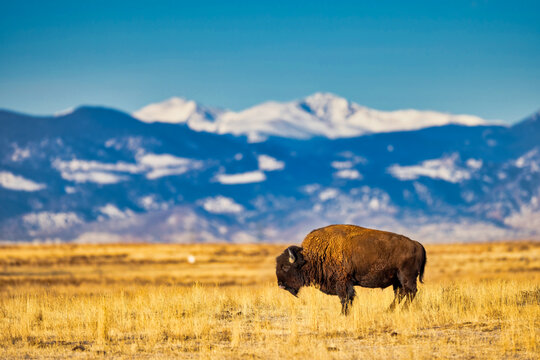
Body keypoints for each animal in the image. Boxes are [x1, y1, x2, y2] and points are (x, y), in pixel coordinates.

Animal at [278, 224, 426, 314]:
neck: (311, 257)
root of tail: (416, 244)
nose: (281, 285)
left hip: (406, 276)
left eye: (285, 266)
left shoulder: (343, 282)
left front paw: (343, 314)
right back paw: (388, 311)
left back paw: (402, 311)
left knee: (410, 292)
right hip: (397, 280)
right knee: (400, 294)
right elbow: (348, 298)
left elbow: (345, 298)